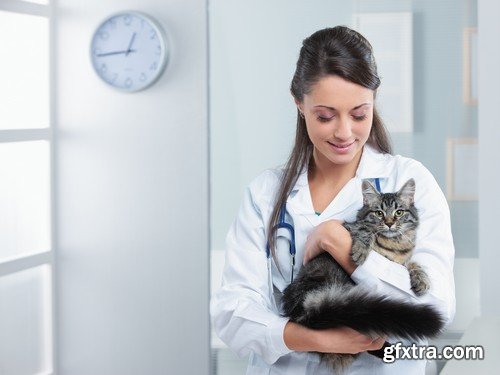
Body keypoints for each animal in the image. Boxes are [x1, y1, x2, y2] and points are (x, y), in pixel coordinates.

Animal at [282, 179, 446, 374]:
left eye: (399, 212)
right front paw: (360, 250)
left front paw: (421, 280)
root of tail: (305, 310)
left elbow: (414, 263)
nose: (389, 223)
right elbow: (365, 230)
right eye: (379, 213)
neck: (394, 244)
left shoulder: (403, 260)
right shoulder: (352, 227)